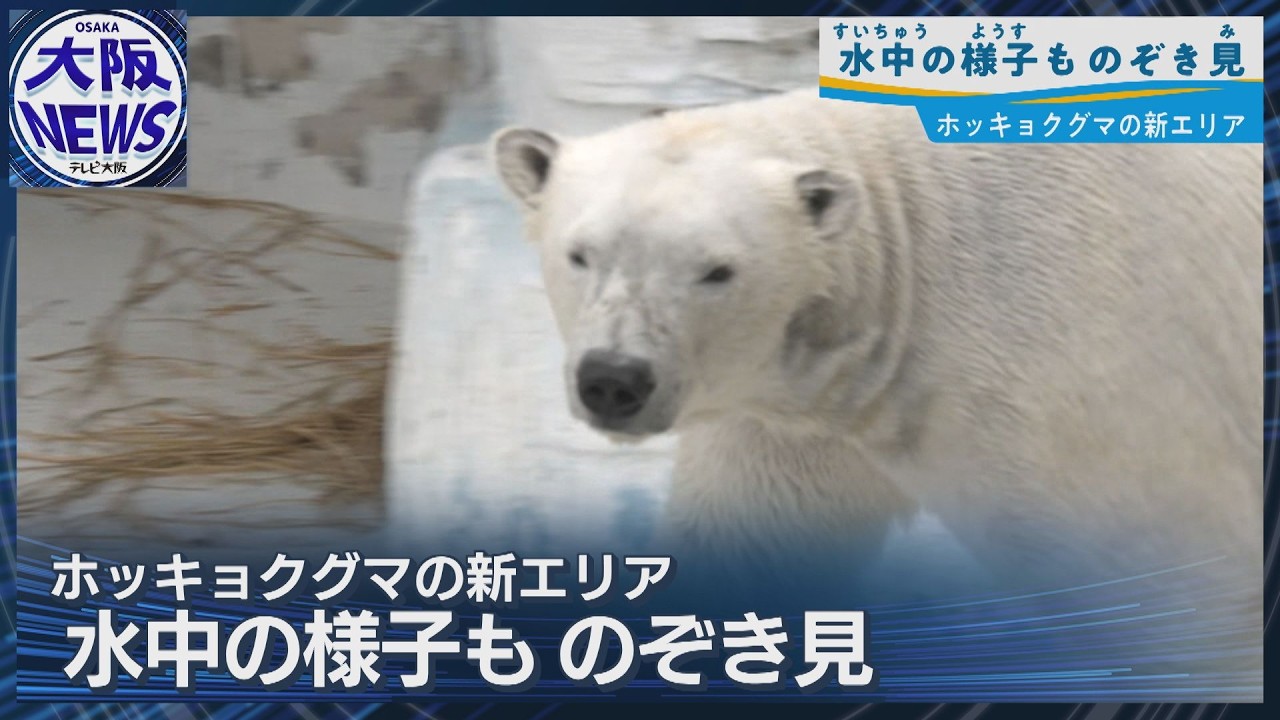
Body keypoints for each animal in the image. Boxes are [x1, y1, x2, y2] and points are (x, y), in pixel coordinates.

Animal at [489, 89, 1262, 608]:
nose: (614, 379)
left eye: (717, 270)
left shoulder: (1069, 389)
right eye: (581, 254)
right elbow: (750, 540)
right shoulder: (799, 419)